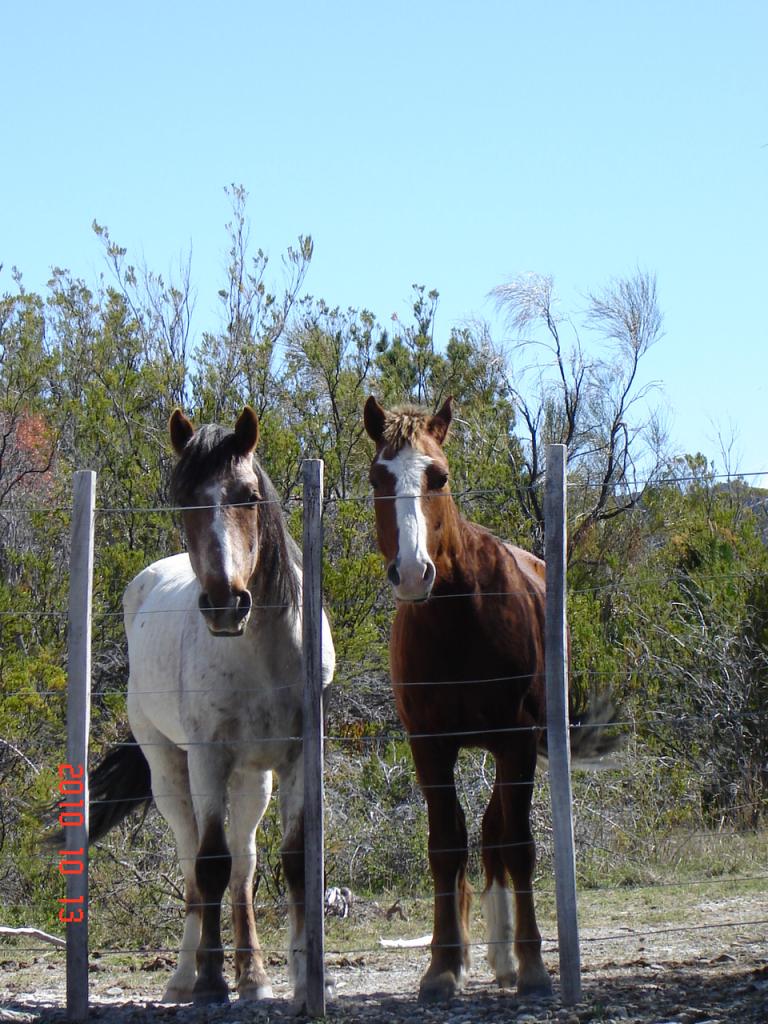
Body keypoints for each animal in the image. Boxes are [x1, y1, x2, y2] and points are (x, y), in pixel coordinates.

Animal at [86, 405, 333, 1007]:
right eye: (183, 498)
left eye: (247, 495)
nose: (226, 604)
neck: (267, 655)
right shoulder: (208, 758)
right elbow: (210, 864)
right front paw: (211, 982)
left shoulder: (299, 757)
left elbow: (293, 861)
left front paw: (303, 980)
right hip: (172, 773)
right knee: (194, 863)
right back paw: (183, 976)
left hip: (252, 778)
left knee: (244, 862)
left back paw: (255, 976)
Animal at [364, 395, 569, 1003]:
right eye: (377, 478)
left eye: (439, 476)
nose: (412, 573)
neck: (458, 617)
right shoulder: (429, 745)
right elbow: (446, 845)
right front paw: (442, 966)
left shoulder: (516, 741)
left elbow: (519, 845)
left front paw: (533, 964)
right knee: (482, 831)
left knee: (500, 834)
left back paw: (510, 957)